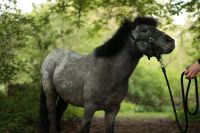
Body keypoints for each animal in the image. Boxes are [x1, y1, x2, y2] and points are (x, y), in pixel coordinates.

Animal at [39, 16, 175, 133]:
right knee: (52, 117)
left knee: (59, 115)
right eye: (144, 30)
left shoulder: (112, 110)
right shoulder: (89, 108)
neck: (109, 73)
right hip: (50, 94)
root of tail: (51, 55)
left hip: (64, 98)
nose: (171, 42)